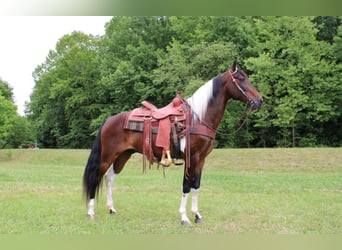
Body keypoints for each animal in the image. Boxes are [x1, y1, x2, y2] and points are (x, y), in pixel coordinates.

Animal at [82, 60, 262, 225]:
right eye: (240, 79)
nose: (259, 100)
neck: (198, 119)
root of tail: (108, 120)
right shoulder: (191, 158)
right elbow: (186, 186)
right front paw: (184, 217)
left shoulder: (201, 160)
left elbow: (196, 185)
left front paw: (197, 215)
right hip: (107, 156)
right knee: (96, 177)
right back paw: (90, 212)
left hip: (123, 155)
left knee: (109, 178)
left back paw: (112, 209)